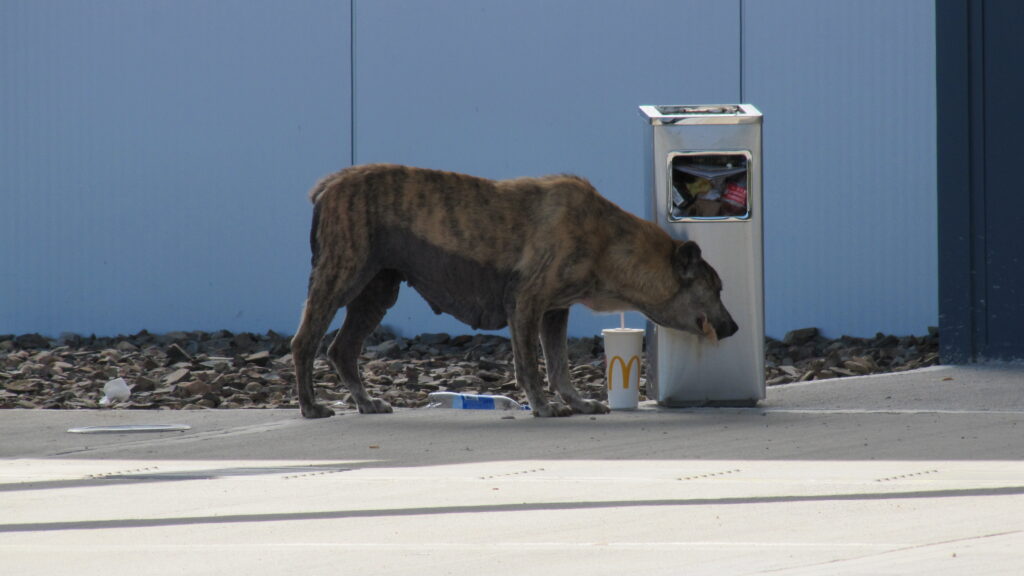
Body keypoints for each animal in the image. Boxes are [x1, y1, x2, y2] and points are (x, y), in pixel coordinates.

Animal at [288, 163, 737, 414]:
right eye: (716, 287)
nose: (733, 328)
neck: (608, 239)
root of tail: (329, 186)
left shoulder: (555, 311)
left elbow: (559, 366)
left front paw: (576, 403)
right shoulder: (526, 303)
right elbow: (531, 367)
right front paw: (542, 406)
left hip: (377, 291)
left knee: (341, 349)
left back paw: (365, 403)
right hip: (339, 277)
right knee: (305, 342)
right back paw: (311, 406)